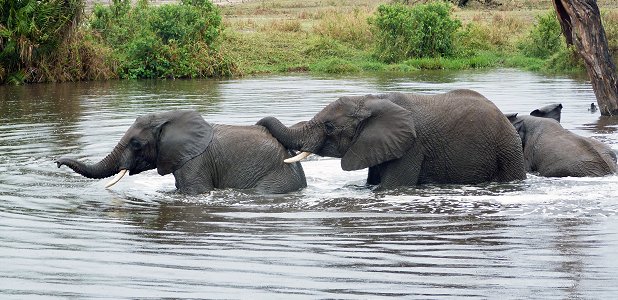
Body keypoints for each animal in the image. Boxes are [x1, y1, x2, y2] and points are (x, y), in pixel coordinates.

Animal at [255, 88, 524, 189]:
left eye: (329, 127)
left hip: (507, 150)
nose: (257, 124)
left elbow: (391, 187)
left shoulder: (412, 147)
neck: (370, 100)